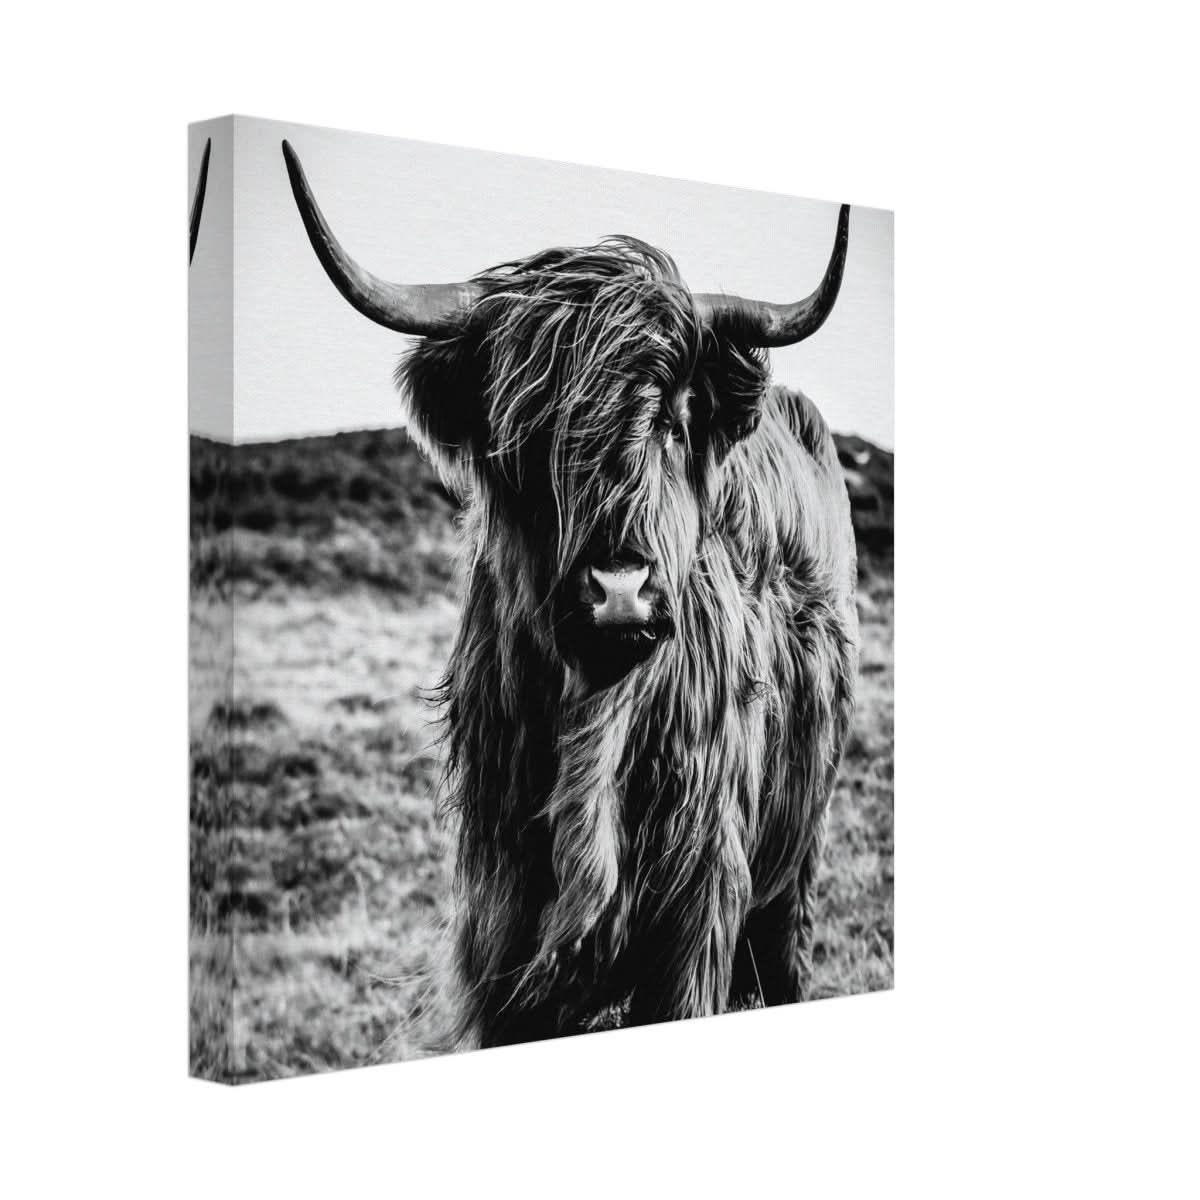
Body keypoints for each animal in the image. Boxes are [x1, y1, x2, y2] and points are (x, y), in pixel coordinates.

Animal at [282, 140, 859, 1047]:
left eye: (670, 418)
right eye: (527, 432)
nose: (619, 589)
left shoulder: (696, 911)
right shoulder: (502, 924)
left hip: (796, 857)